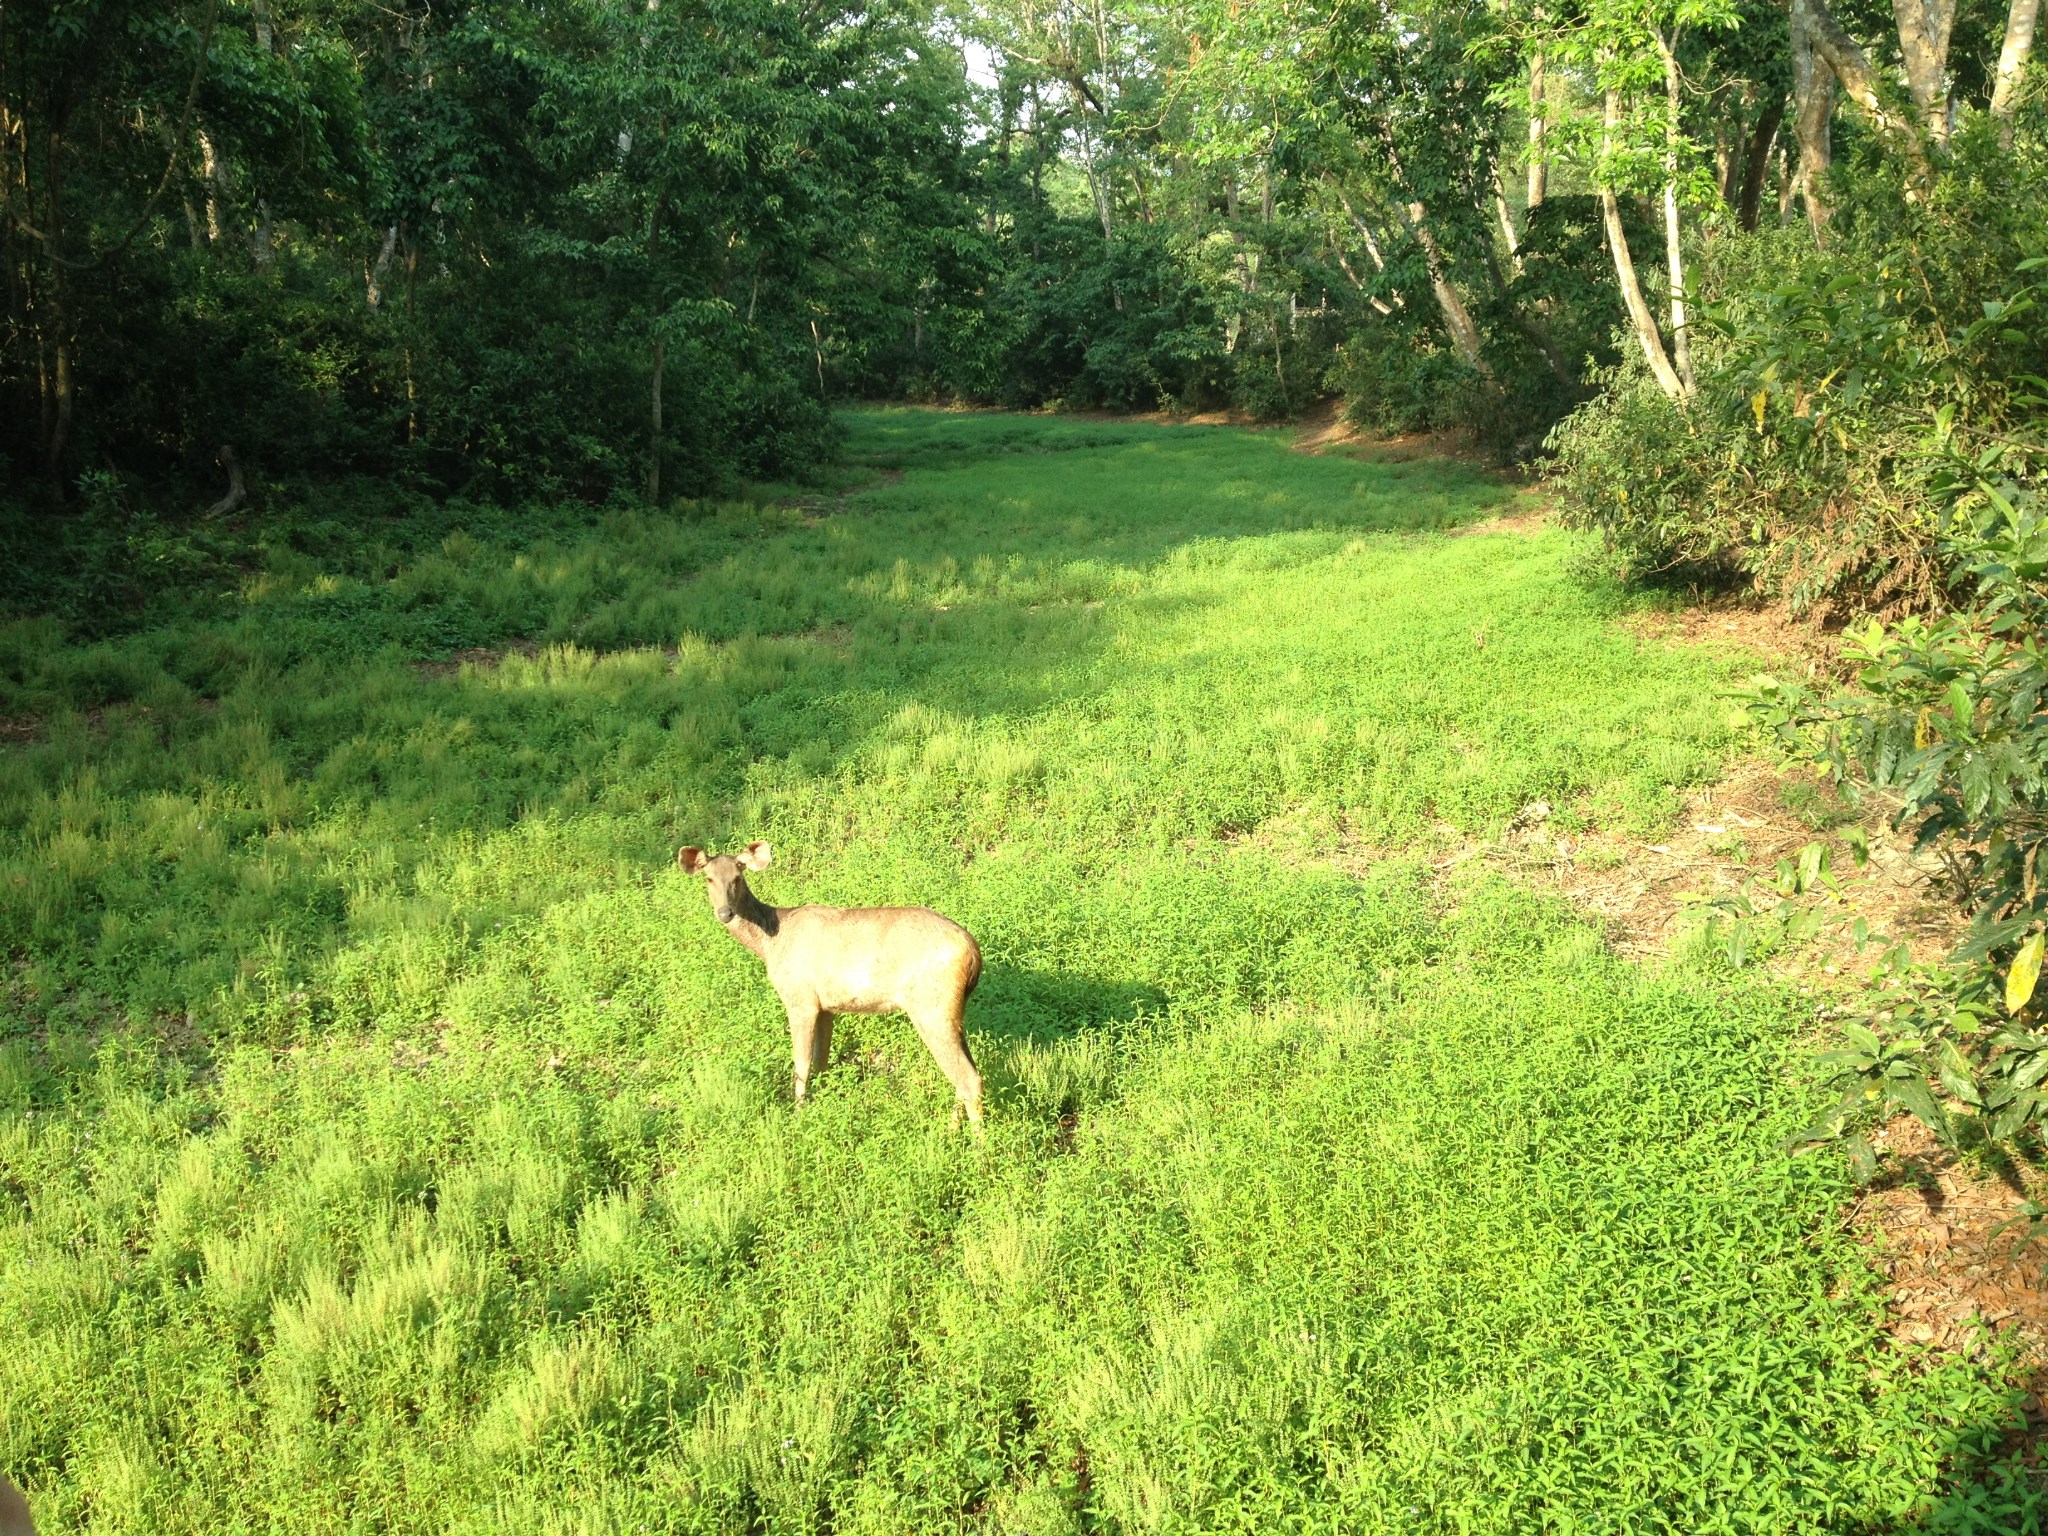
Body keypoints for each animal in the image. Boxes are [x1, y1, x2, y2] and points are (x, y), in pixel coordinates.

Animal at [679, 847, 983, 1122]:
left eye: (737, 876)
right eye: (708, 878)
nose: (725, 912)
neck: (769, 943)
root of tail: (972, 952)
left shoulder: (800, 999)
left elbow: (801, 1063)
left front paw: (798, 1114)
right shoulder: (825, 1006)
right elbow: (820, 1061)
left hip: (931, 1007)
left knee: (969, 1079)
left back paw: (978, 1143)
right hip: (951, 1012)